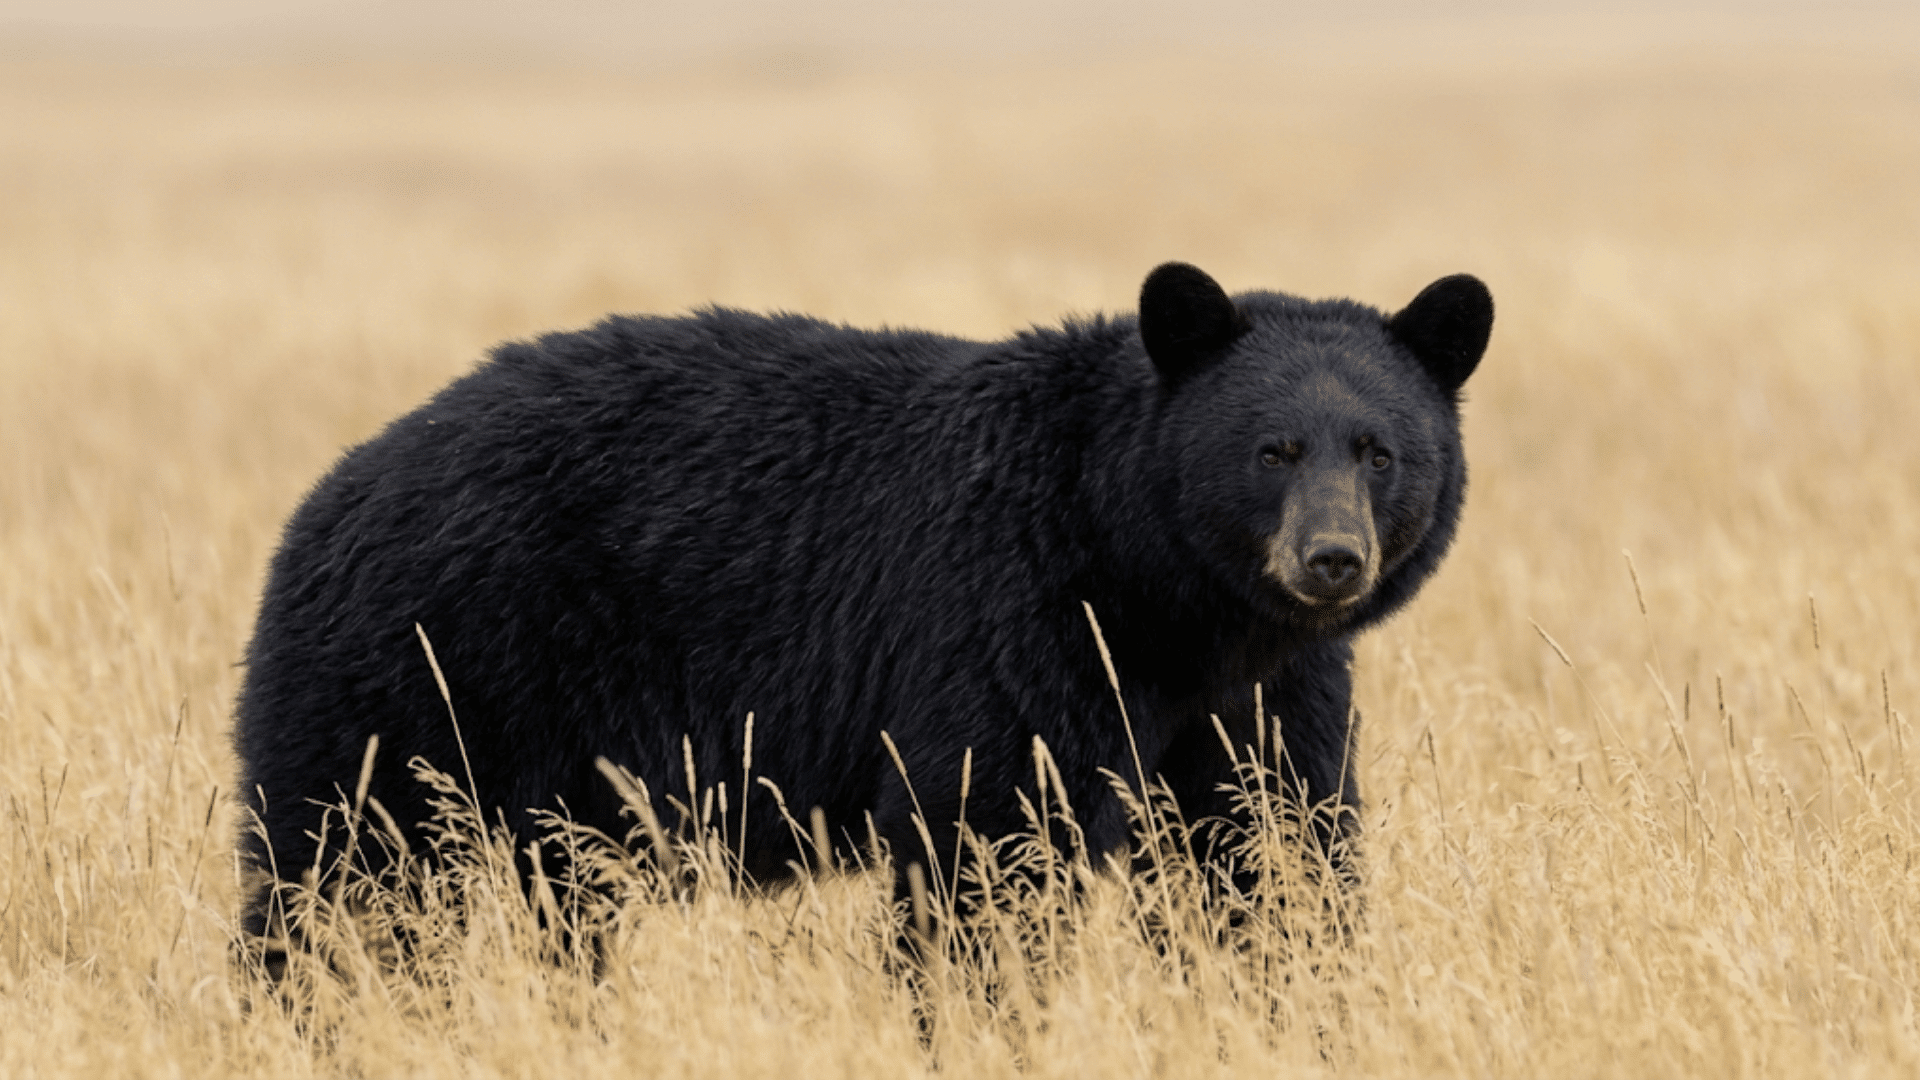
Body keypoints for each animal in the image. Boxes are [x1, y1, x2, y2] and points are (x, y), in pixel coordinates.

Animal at [234, 262, 1492, 954]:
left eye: (1379, 450)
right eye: (1271, 449)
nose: (1330, 559)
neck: (1163, 598)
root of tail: (337, 485)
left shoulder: (1262, 688)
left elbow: (1268, 839)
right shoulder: (1009, 614)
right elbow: (988, 834)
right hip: (425, 664)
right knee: (344, 874)